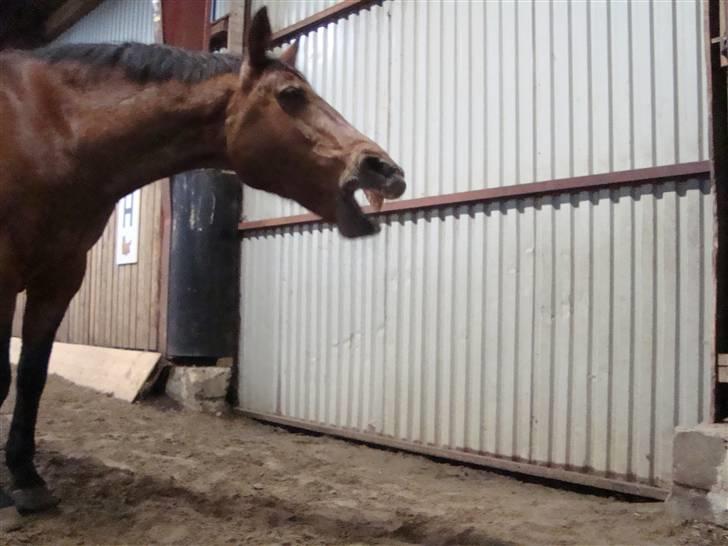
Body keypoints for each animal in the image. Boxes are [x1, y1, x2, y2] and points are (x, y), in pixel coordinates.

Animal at [0, 7, 404, 520]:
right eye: (291, 96)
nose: (385, 169)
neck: (48, 128)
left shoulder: (60, 275)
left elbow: (31, 376)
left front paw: (26, 479)